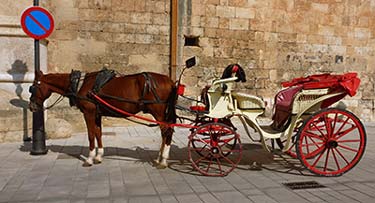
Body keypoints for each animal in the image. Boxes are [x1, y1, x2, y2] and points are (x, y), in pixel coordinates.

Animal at [27, 70, 178, 168]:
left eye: (33, 87)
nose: (31, 106)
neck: (81, 84)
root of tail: (170, 81)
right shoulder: (97, 114)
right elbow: (98, 134)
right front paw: (99, 156)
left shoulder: (88, 113)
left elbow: (90, 135)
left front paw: (89, 158)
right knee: (166, 132)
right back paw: (159, 158)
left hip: (157, 112)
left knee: (167, 131)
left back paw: (163, 160)